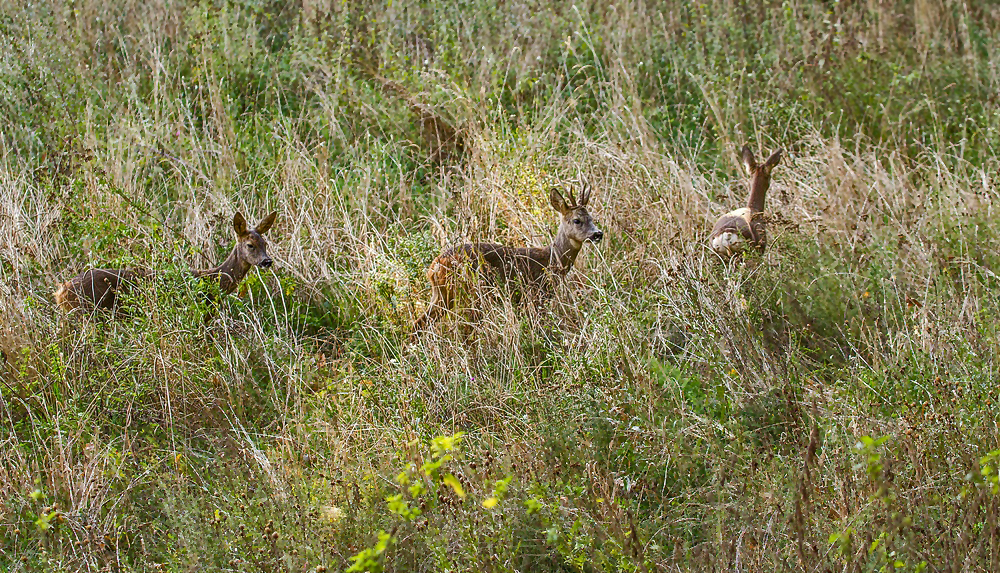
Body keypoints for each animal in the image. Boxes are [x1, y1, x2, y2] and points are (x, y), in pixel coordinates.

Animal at [414, 183, 600, 330]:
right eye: (577, 220)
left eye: (592, 218)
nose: (598, 234)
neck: (550, 261)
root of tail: (434, 266)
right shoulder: (536, 295)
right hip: (466, 292)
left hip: (442, 294)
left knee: (418, 324)